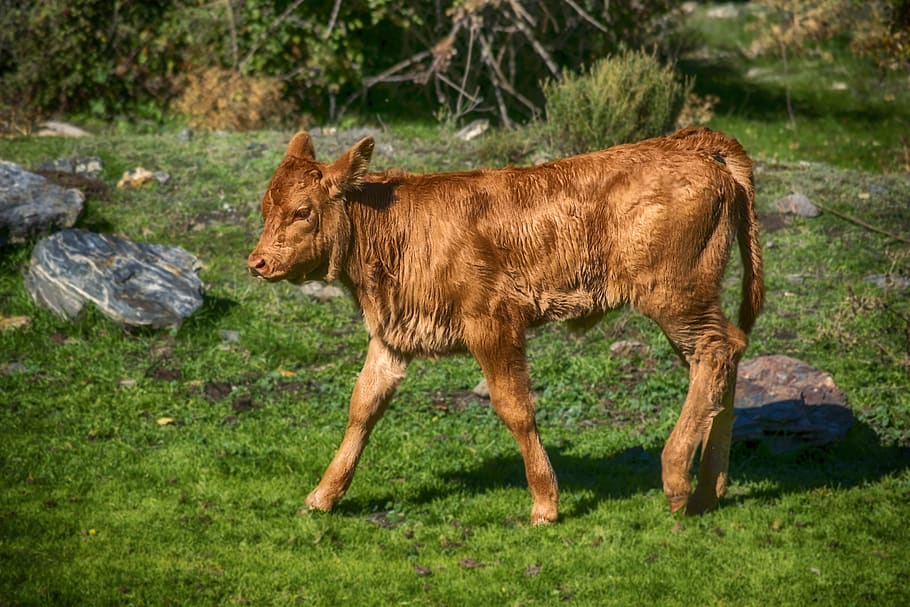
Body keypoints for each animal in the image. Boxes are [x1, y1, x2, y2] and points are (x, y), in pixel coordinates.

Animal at [248, 127, 763, 525]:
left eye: (302, 211)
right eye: (265, 208)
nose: (258, 262)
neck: (396, 228)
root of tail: (694, 146)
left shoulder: (493, 325)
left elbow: (515, 407)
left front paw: (545, 504)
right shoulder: (392, 336)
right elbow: (363, 405)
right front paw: (323, 495)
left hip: (675, 297)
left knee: (717, 351)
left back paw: (677, 480)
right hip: (688, 305)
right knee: (723, 357)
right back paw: (708, 490)